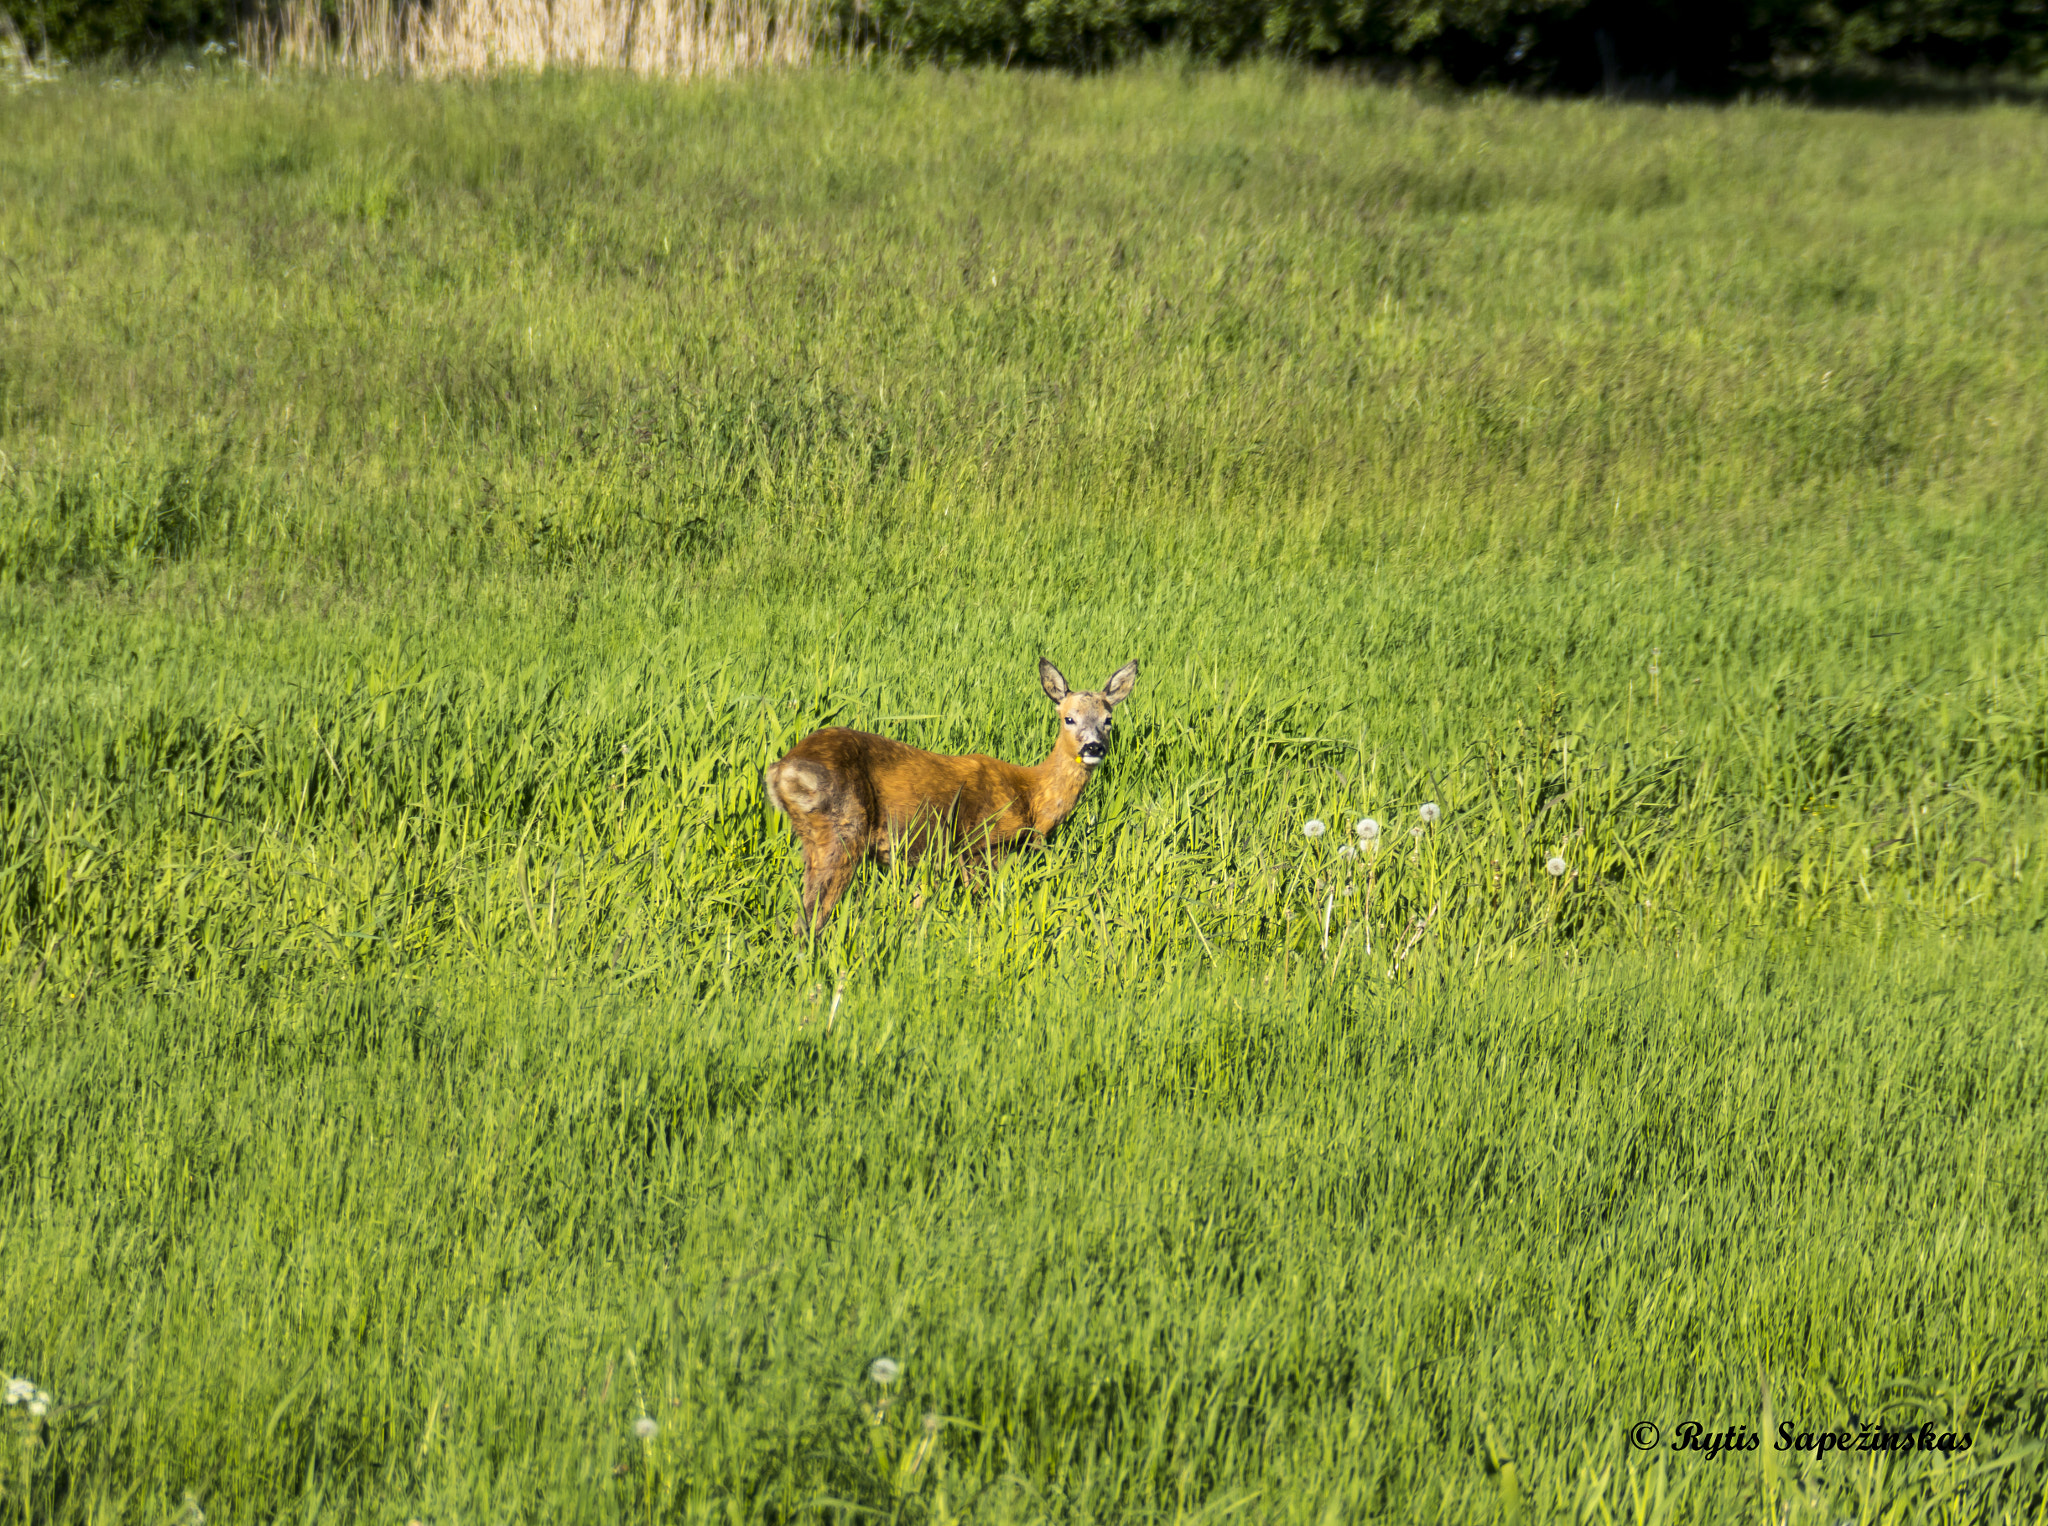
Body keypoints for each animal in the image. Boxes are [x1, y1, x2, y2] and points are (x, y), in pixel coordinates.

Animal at [763, 657, 1139, 934]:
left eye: (1108, 719)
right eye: (1069, 718)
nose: (1094, 748)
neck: (1030, 796)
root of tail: (781, 769)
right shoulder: (982, 847)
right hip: (842, 828)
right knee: (811, 916)